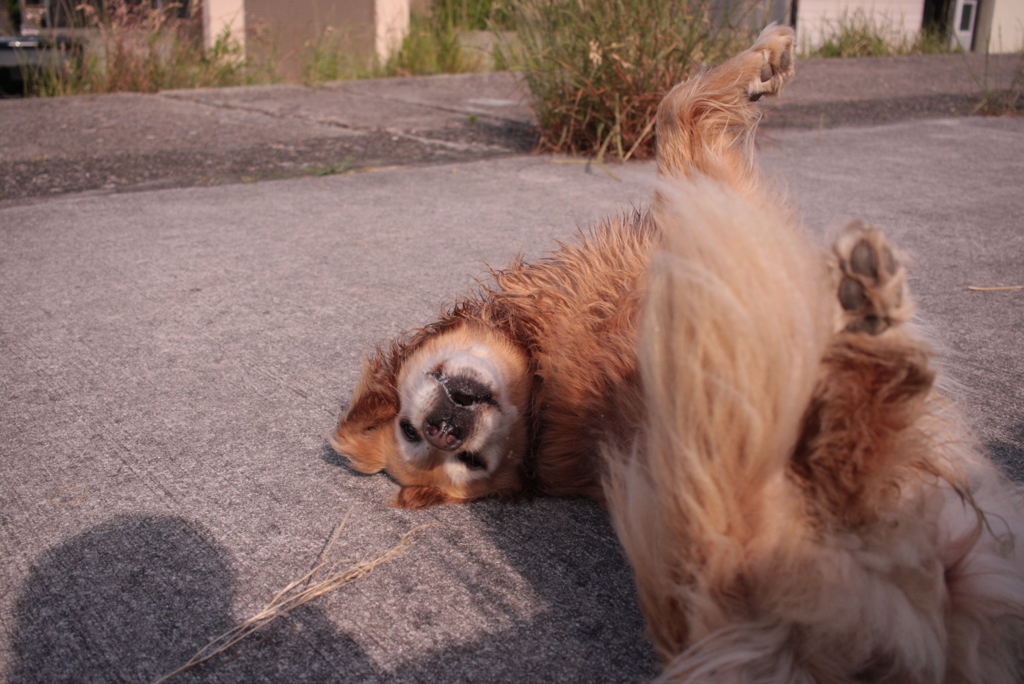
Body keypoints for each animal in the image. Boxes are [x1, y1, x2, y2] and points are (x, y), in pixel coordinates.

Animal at [329, 25, 1024, 679]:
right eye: (464, 460)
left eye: (429, 442)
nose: (444, 429)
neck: (544, 384)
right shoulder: (707, 212)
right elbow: (677, 110)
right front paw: (764, 60)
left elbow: (677, 109)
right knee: (849, 453)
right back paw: (870, 317)